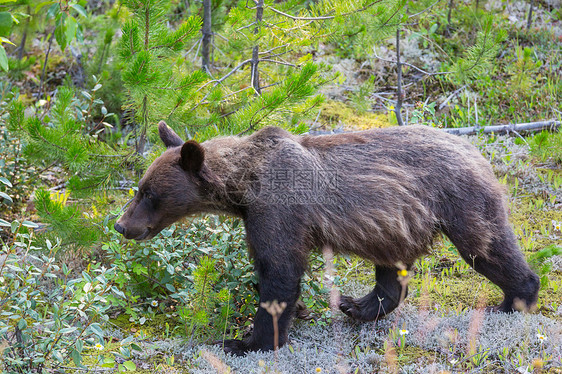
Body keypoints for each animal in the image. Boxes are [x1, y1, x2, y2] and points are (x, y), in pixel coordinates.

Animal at [114, 120, 540, 356]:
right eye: (140, 188)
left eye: (149, 194)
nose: (121, 225)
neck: (244, 185)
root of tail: (477, 149)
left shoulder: (279, 209)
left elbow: (279, 271)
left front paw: (246, 341)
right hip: (394, 224)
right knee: (392, 271)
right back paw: (357, 305)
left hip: (459, 200)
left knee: (486, 246)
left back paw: (513, 300)